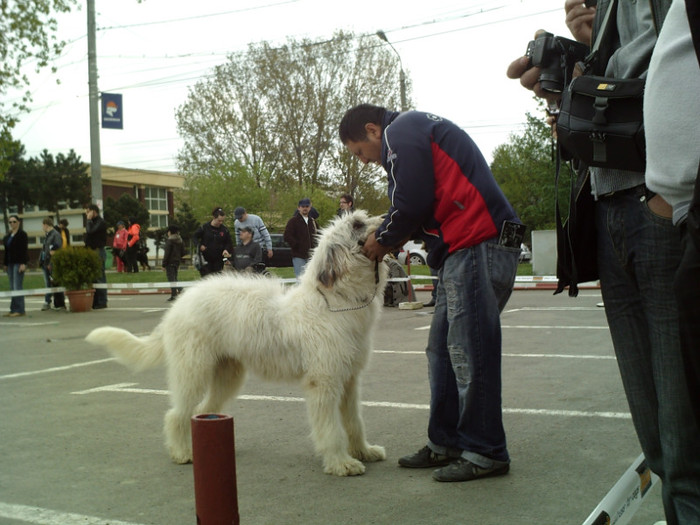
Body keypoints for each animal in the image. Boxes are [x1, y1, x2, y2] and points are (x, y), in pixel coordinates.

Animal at [86, 209, 388, 474]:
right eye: (357, 224)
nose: (386, 218)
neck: (335, 301)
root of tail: (179, 304)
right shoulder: (324, 381)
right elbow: (331, 428)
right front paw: (341, 463)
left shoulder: (349, 378)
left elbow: (354, 420)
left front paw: (364, 451)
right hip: (192, 370)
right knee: (177, 414)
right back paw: (182, 452)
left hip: (227, 373)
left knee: (202, 411)